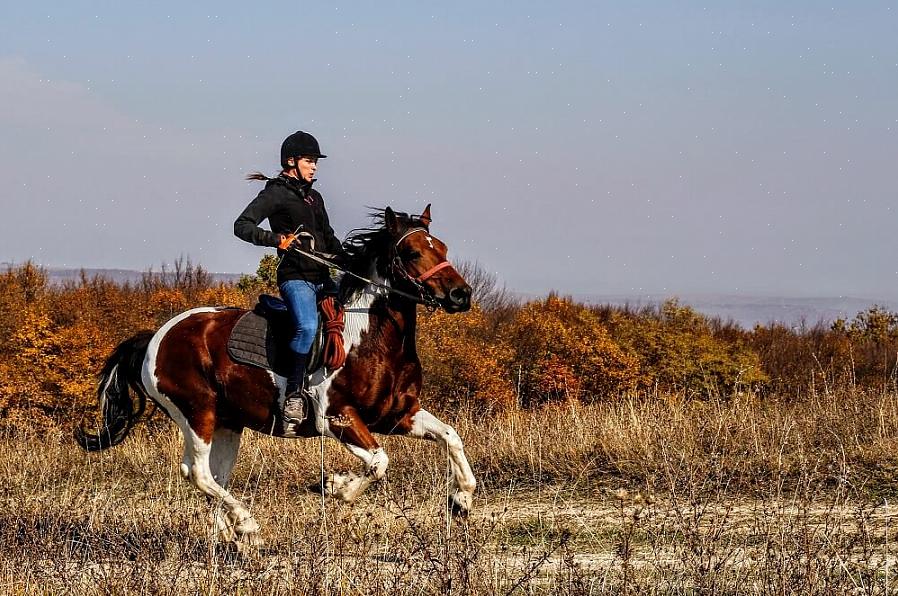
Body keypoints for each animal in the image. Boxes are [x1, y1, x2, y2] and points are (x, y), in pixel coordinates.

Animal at [77, 205, 476, 544]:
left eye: (441, 247)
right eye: (412, 252)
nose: (461, 295)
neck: (370, 336)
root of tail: (156, 337)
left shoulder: (398, 414)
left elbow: (451, 437)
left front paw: (461, 500)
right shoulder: (337, 417)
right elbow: (379, 462)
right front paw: (335, 486)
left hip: (228, 422)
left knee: (213, 476)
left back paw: (228, 535)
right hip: (196, 413)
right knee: (198, 472)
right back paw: (246, 525)